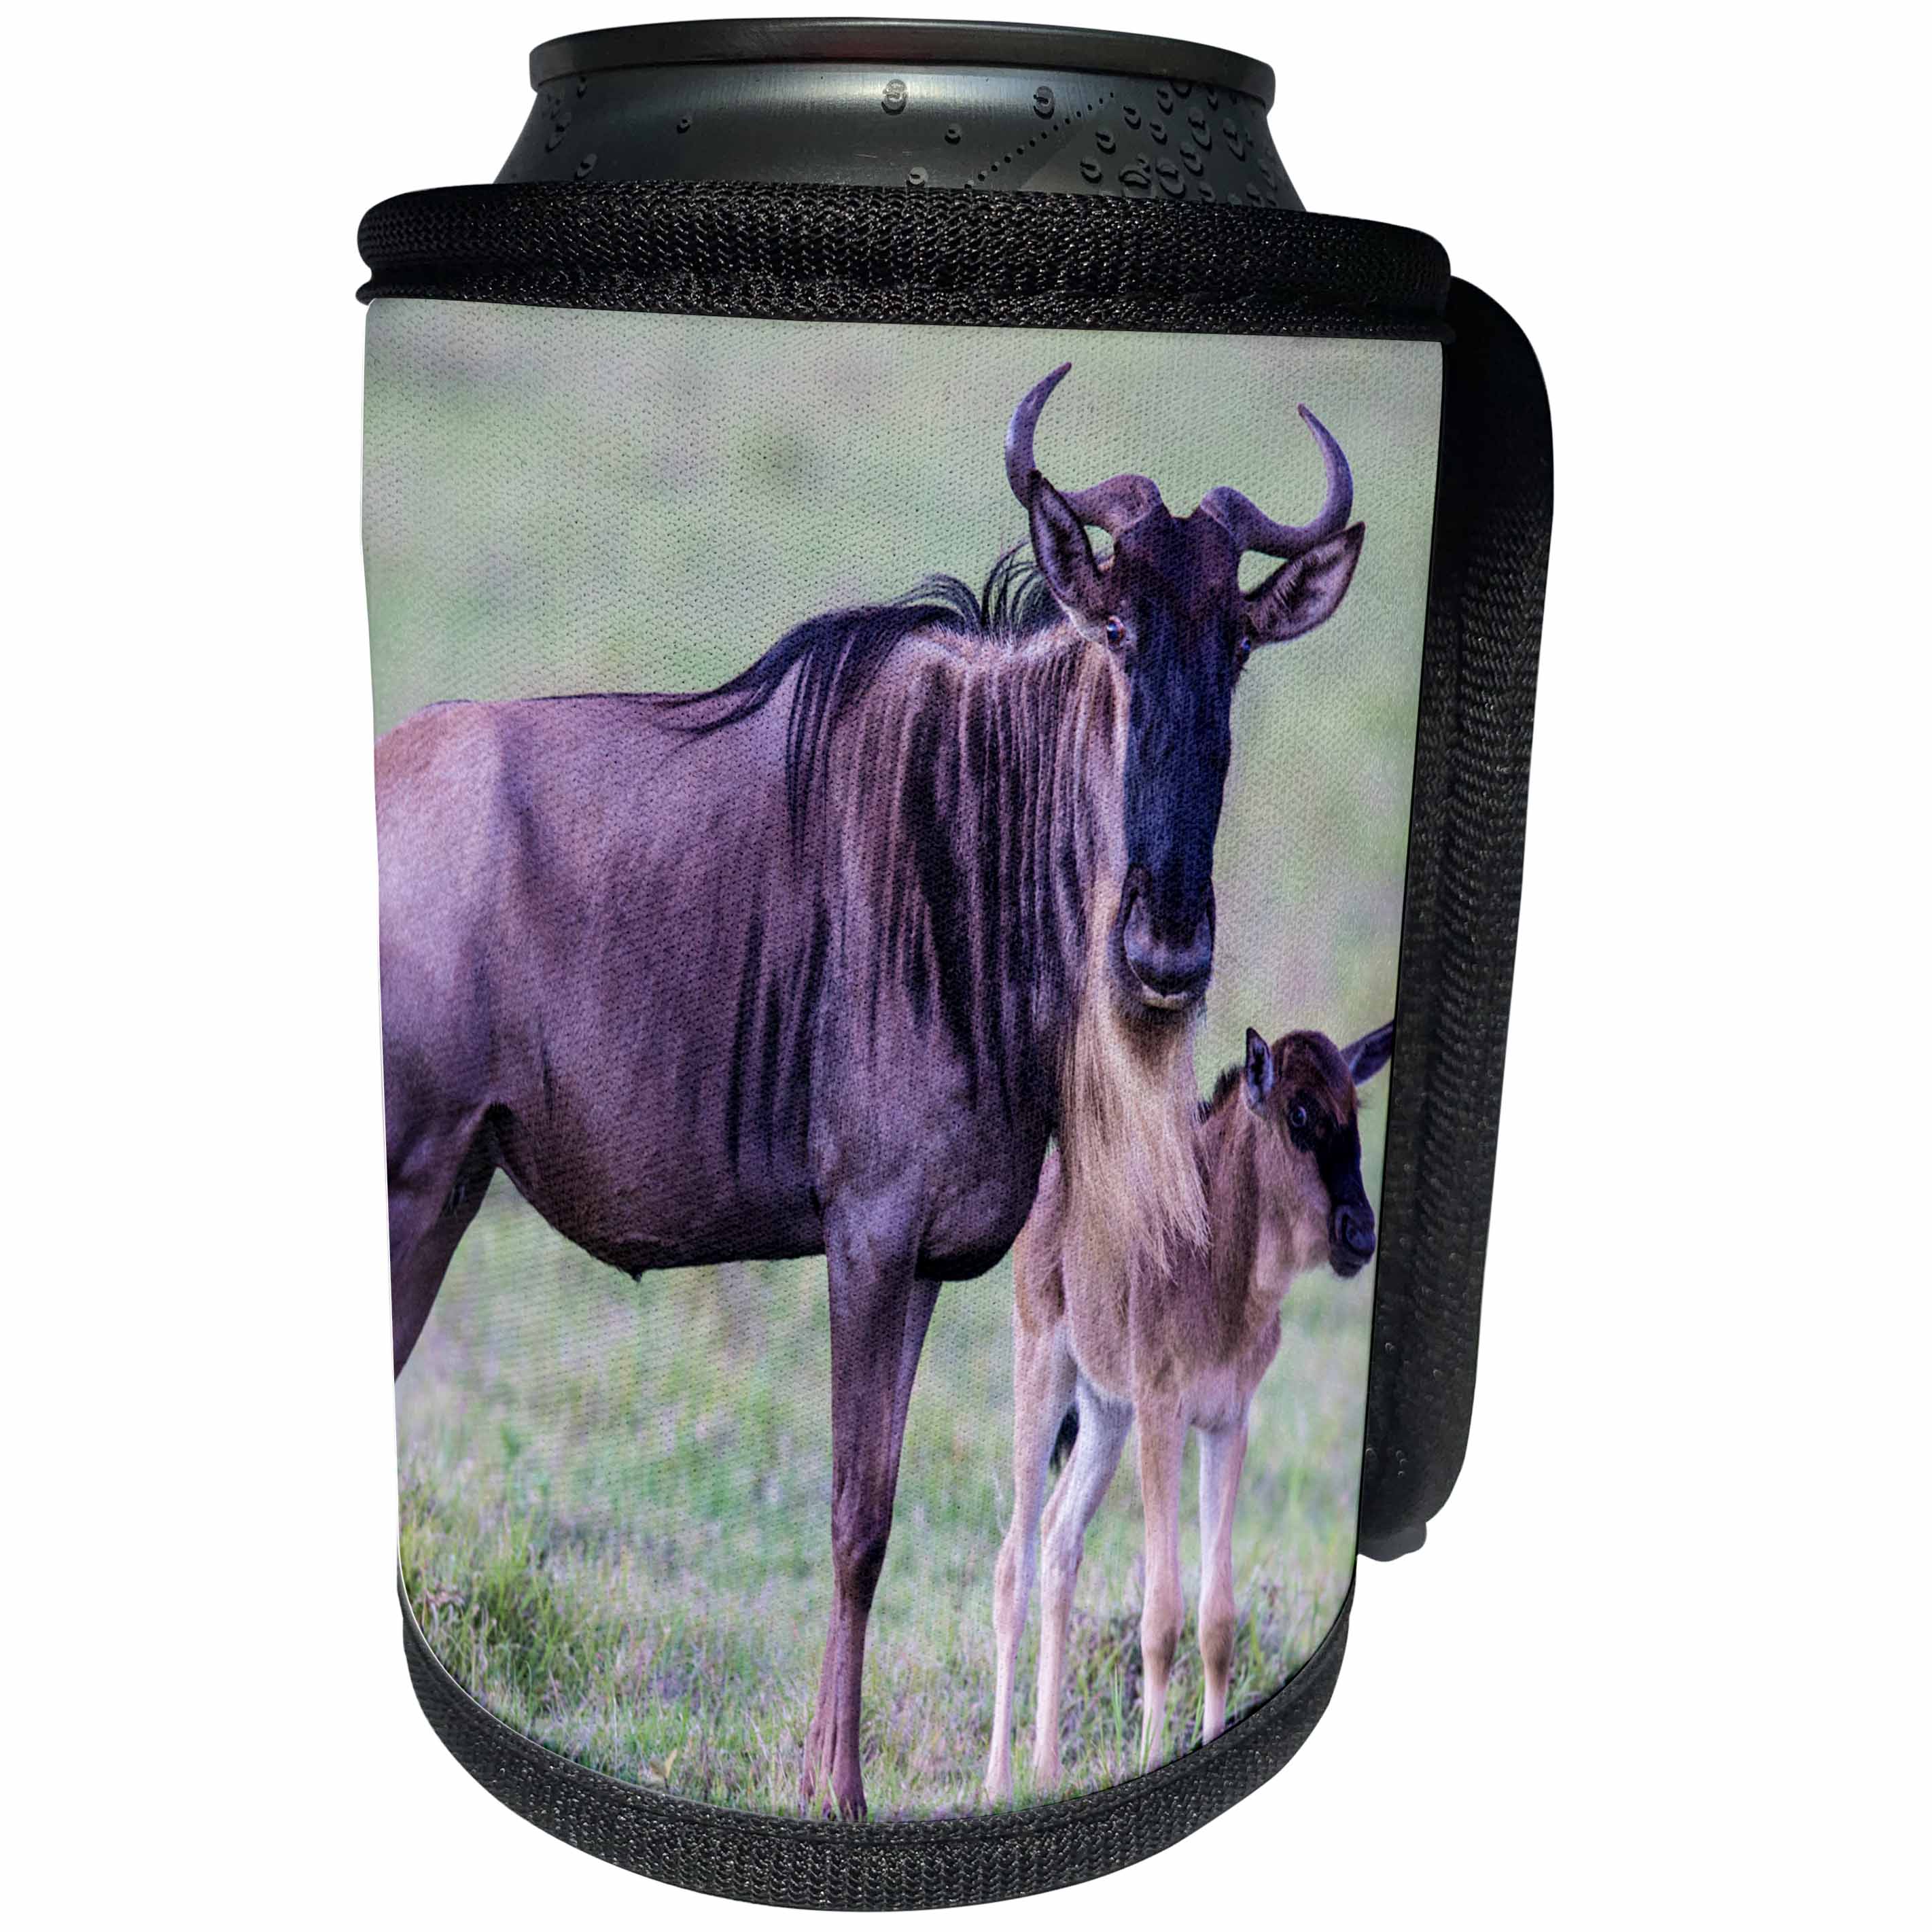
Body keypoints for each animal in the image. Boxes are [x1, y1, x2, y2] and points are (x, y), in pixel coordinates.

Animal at [984, 1019, 1394, 1802]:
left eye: (1353, 1110)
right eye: (1298, 1114)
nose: (1358, 1233)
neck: (1219, 1262)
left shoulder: (1227, 1423)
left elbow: (1217, 1618)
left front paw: (1207, 1743)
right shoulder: (1162, 1413)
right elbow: (1162, 1614)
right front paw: (1152, 1760)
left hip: (1103, 1413)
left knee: (1059, 1537)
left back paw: (1047, 1768)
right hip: (1044, 1370)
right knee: (1013, 1559)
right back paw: (998, 1779)